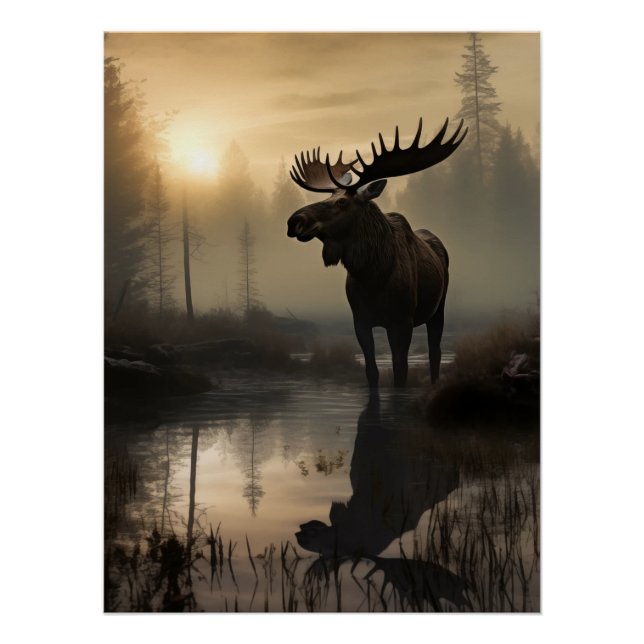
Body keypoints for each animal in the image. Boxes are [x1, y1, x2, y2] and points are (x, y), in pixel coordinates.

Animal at [287, 117, 467, 387]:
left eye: (342, 202)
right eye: (329, 196)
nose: (294, 221)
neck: (372, 275)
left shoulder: (402, 322)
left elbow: (400, 372)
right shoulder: (360, 321)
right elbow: (371, 371)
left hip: (439, 308)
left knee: (435, 353)